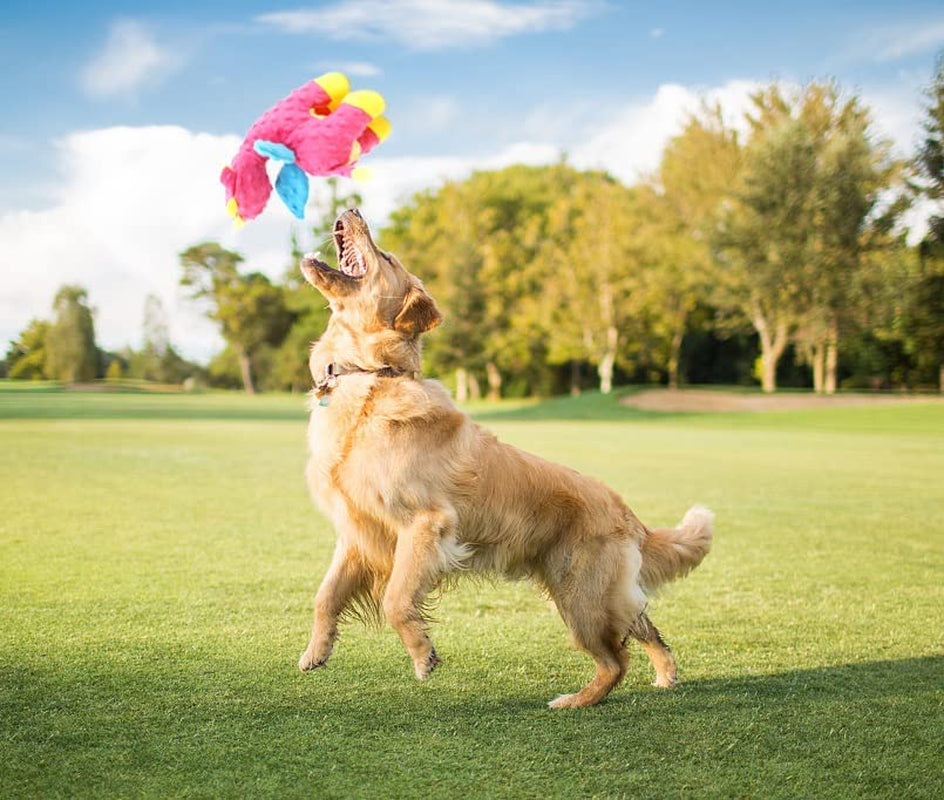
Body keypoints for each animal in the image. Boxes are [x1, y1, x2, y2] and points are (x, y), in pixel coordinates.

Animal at [298, 209, 712, 708]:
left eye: (387, 257)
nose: (353, 210)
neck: (372, 377)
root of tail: (627, 513)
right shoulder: (357, 532)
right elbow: (325, 596)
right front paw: (316, 652)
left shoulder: (426, 524)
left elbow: (396, 599)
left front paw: (422, 655)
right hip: (595, 594)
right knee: (644, 626)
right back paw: (666, 676)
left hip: (580, 598)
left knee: (616, 660)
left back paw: (575, 701)